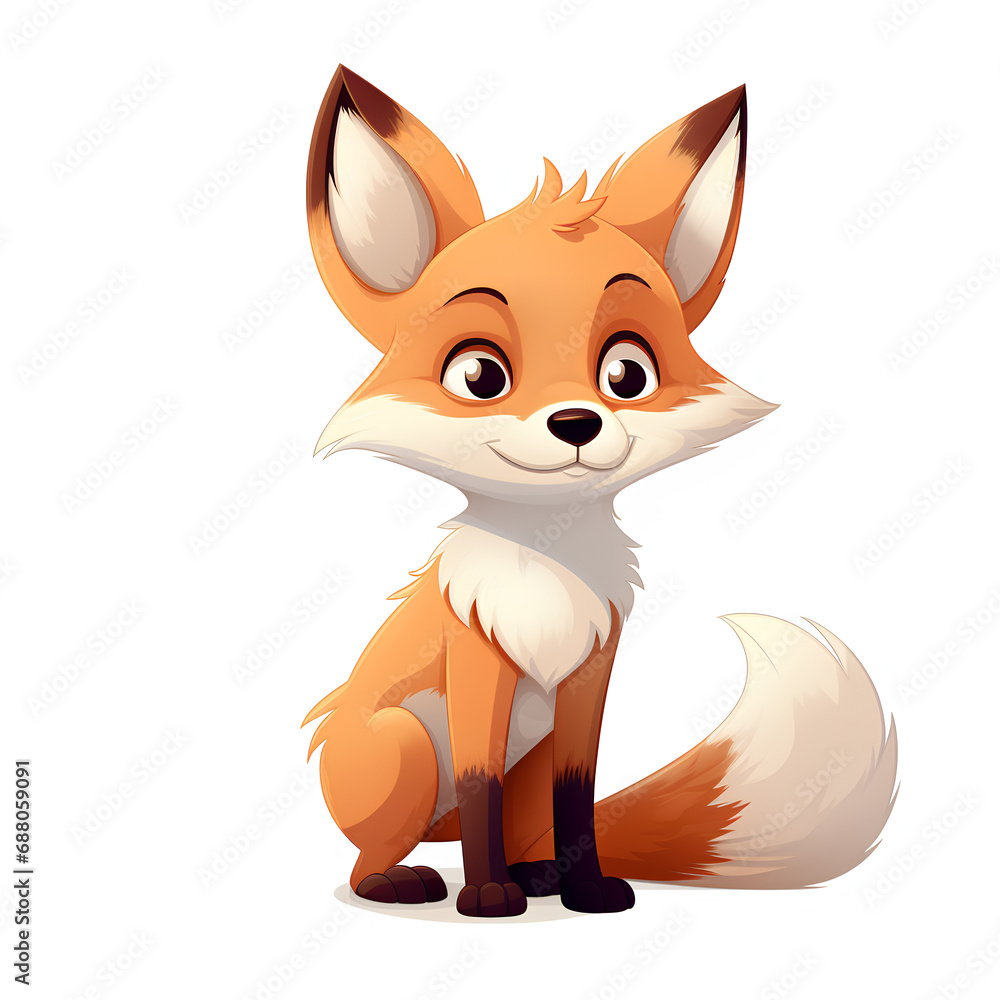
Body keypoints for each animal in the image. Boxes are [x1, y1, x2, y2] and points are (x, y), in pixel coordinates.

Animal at [302, 66, 898, 917]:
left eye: (627, 372)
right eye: (478, 374)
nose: (577, 422)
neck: (548, 573)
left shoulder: (588, 677)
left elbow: (577, 794)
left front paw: (583, 888)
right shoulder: (476, 665)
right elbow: (479, 783)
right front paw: (486, 897)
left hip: (525, 760)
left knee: (529, 821)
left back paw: (537, 876)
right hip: (403, 746)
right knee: (376, 850)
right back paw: (402, 879)